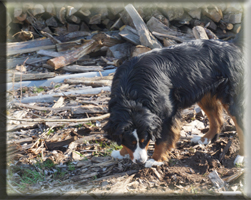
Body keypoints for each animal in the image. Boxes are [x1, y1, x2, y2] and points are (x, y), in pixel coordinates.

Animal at [102, 31, 243, 168]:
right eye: (130, 142)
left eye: (144, 140)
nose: (140, 161)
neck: (131, 95)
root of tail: (232, 45)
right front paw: (121, 153)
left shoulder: (166, 114)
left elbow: (163, 138)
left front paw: (155, 160)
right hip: (205, 94)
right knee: (217, 120)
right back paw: (204, 139)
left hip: (232, 98)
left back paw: (241, 157)